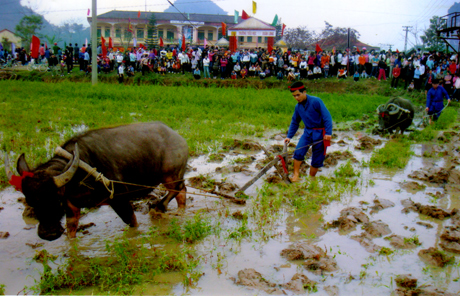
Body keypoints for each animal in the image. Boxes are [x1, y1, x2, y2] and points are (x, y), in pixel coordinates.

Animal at [4, 122, 188, 240]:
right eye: (30, 202)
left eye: (55, 200)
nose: (49, 234)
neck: (77, 176)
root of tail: (179, 139)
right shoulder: (72, 207)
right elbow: (71, 230)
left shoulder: (119, 199)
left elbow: (131, 221)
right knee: (182, 190)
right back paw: (179, 211)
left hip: (170, 175)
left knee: (176, 188)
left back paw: (159, 207)